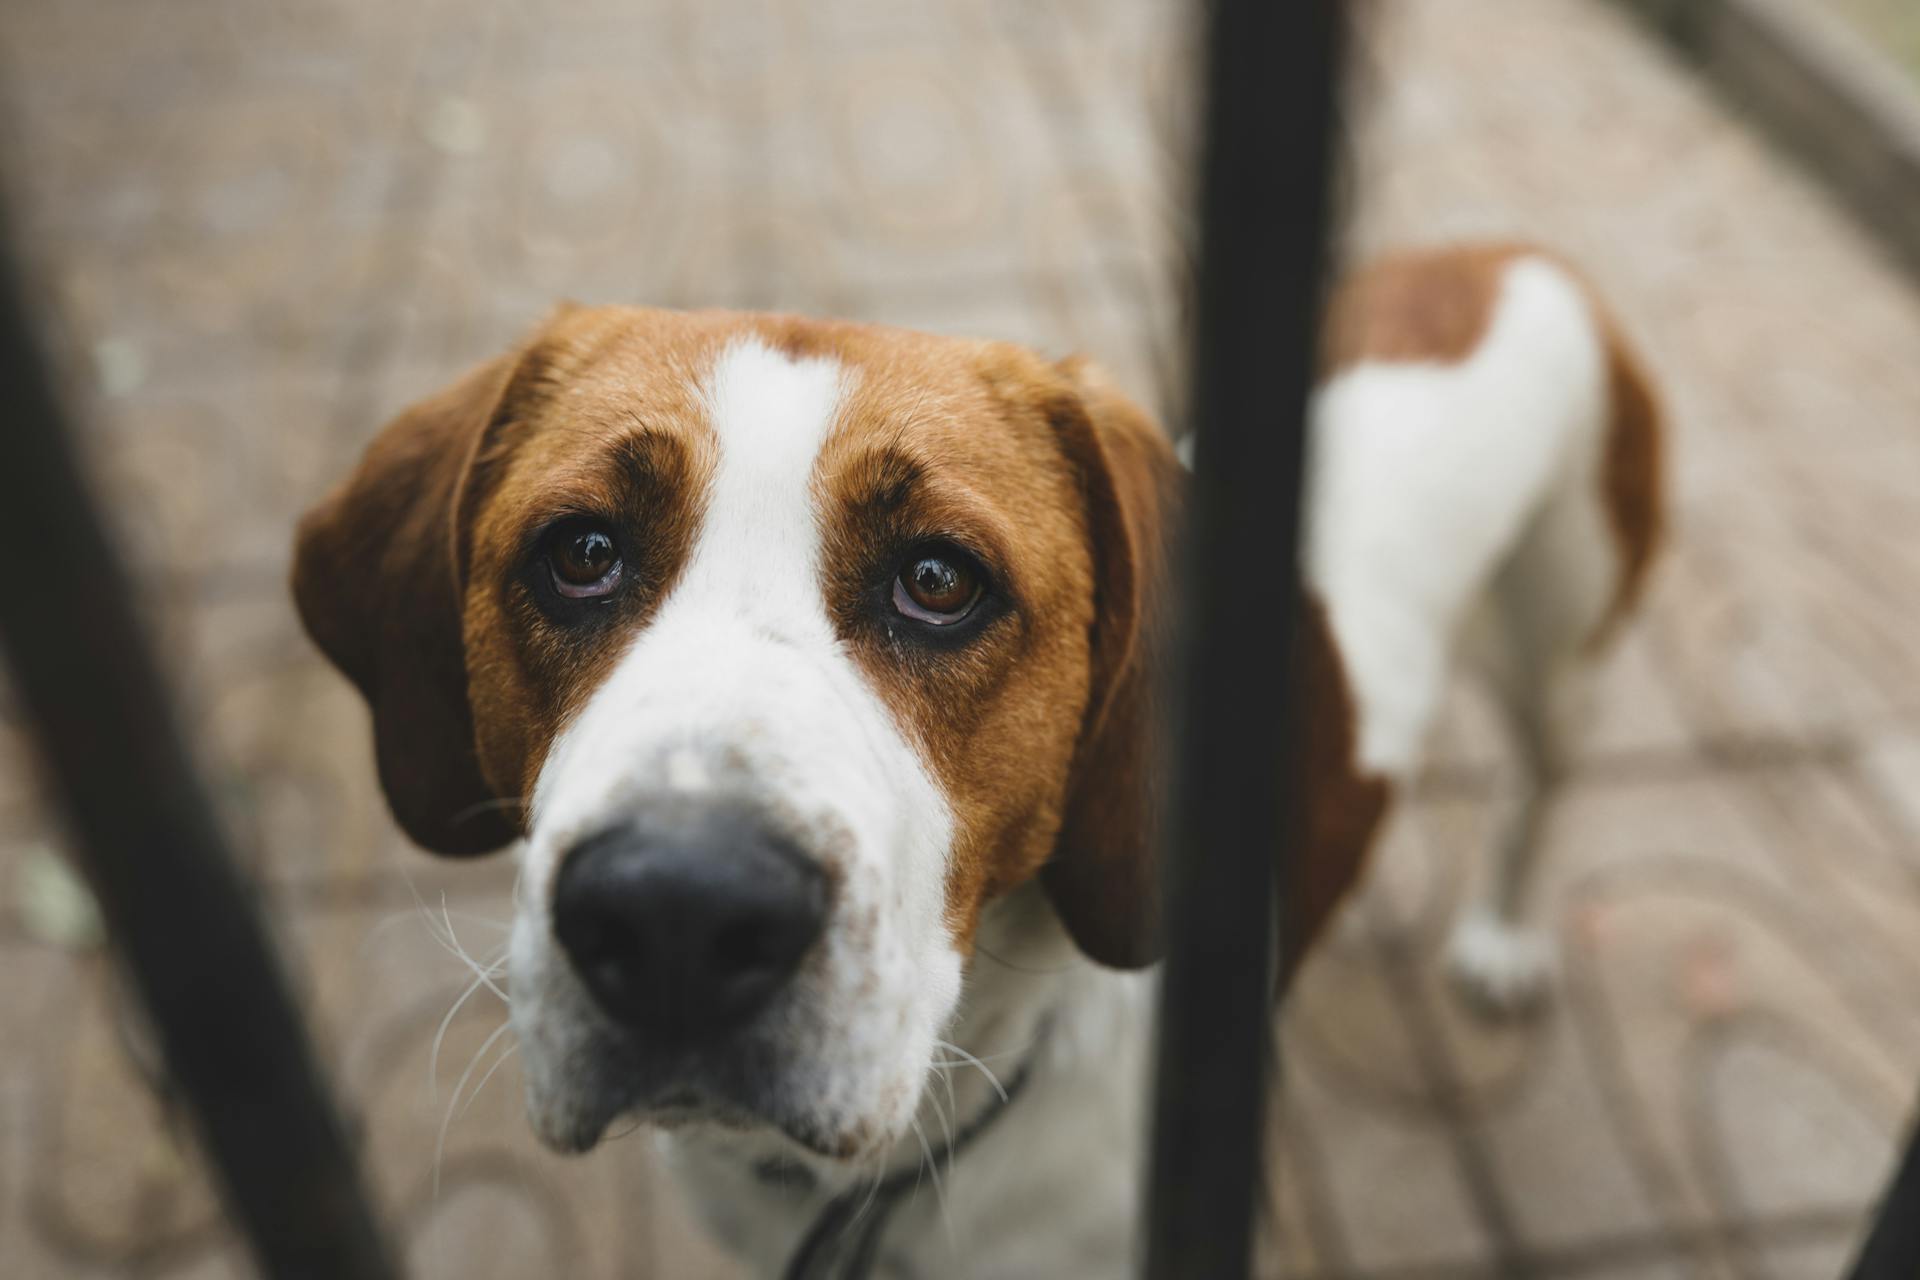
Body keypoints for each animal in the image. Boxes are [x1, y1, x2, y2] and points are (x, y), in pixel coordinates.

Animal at [291, 242, 1658, 1280]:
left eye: (940, 581)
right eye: (580, 552)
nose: (677, 910)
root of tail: (1505, 255)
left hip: (1564, 641)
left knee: (1539, 787)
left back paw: (1500, 938)